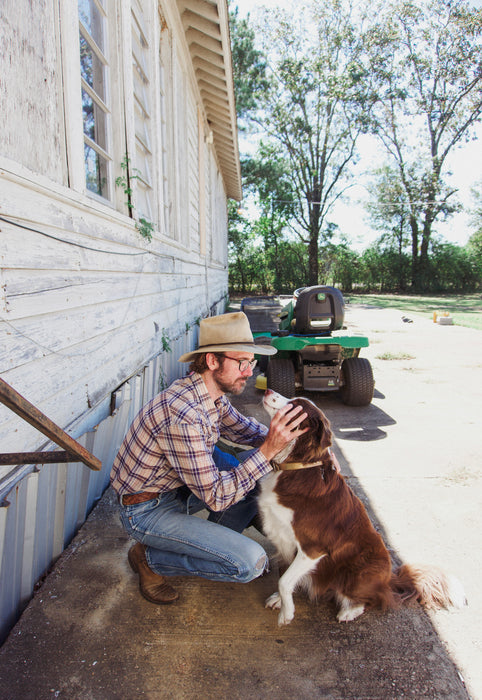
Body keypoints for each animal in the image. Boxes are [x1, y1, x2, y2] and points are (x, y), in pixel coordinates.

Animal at [260, 392, 466, 628]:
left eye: (294, 405)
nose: (267, 392)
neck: (297, 465)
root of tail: (389, 579)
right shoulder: (282, 536)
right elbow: (284, 573)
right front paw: (280, 600)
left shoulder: (312, 548)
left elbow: (285, 580)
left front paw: (287, 614)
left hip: (357, 570)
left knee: (374, 599)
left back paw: (349, 611)